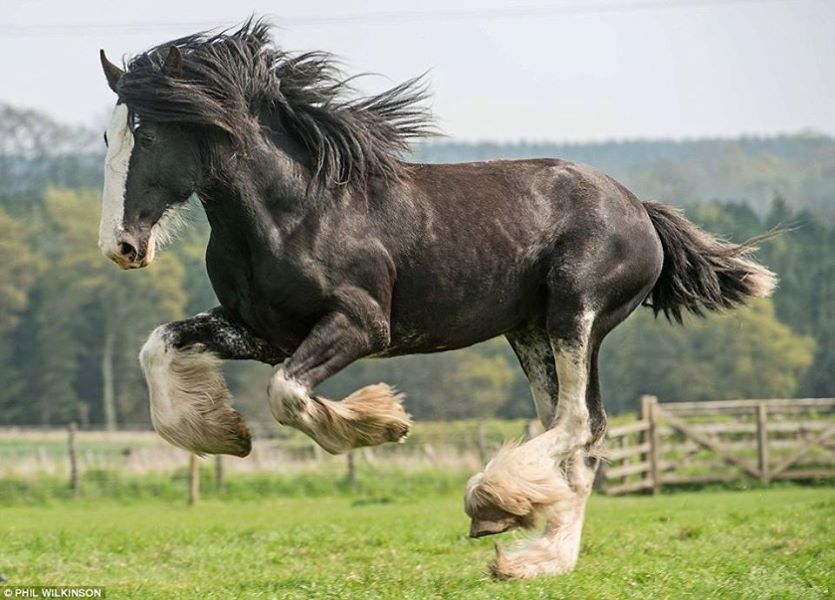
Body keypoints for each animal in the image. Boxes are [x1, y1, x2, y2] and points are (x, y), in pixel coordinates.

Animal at [98, 21, 776, 580]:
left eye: (149, 136)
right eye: (108, 136)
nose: (121, 246)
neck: (294, 211)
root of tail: (640, 210)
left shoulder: (360, 325)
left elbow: (288, 393)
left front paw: (380, 423)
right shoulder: (260, 331)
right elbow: (157, 348)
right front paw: (223, 433)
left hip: (575, 313)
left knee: (578, 423)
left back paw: (493, 504)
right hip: (530, 332)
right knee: (581, 433)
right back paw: (536, 556)